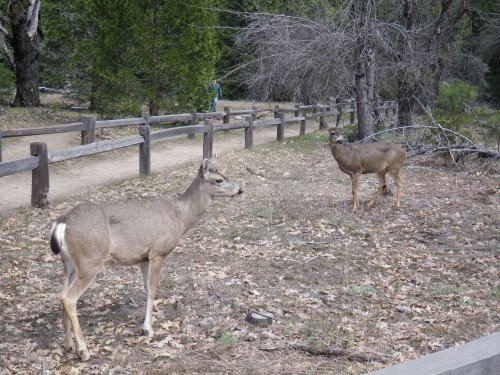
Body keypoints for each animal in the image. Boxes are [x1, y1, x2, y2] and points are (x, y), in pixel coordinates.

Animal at [49, 159, 242, 362]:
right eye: (219, 180)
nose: (239, 190)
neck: (181, 217)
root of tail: (61, 224)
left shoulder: (143, 258)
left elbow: (147, 289)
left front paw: (146, 325)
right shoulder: (158, 252)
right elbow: (154, 289)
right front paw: (148, 329)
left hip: (69, 264)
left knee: (61, 295)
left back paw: (69, 345)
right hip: (90, 262)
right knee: (69, 298)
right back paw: (83, 350)